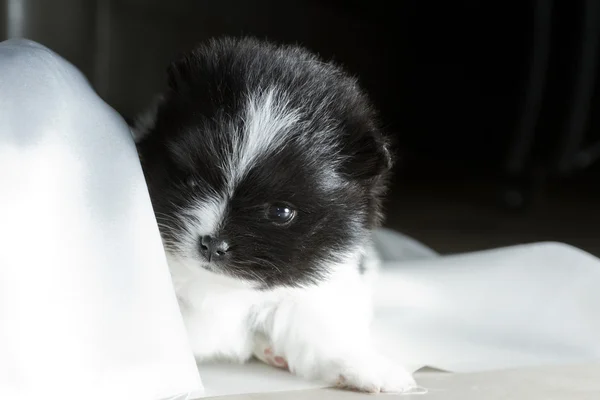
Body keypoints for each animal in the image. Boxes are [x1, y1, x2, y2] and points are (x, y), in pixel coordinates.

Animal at [134, 37, 414, 394]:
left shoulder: (319, 289)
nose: (213, 245)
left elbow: (324, 333)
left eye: (281, 212)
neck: (221, 288)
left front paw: (368, 367)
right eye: (191, 182)